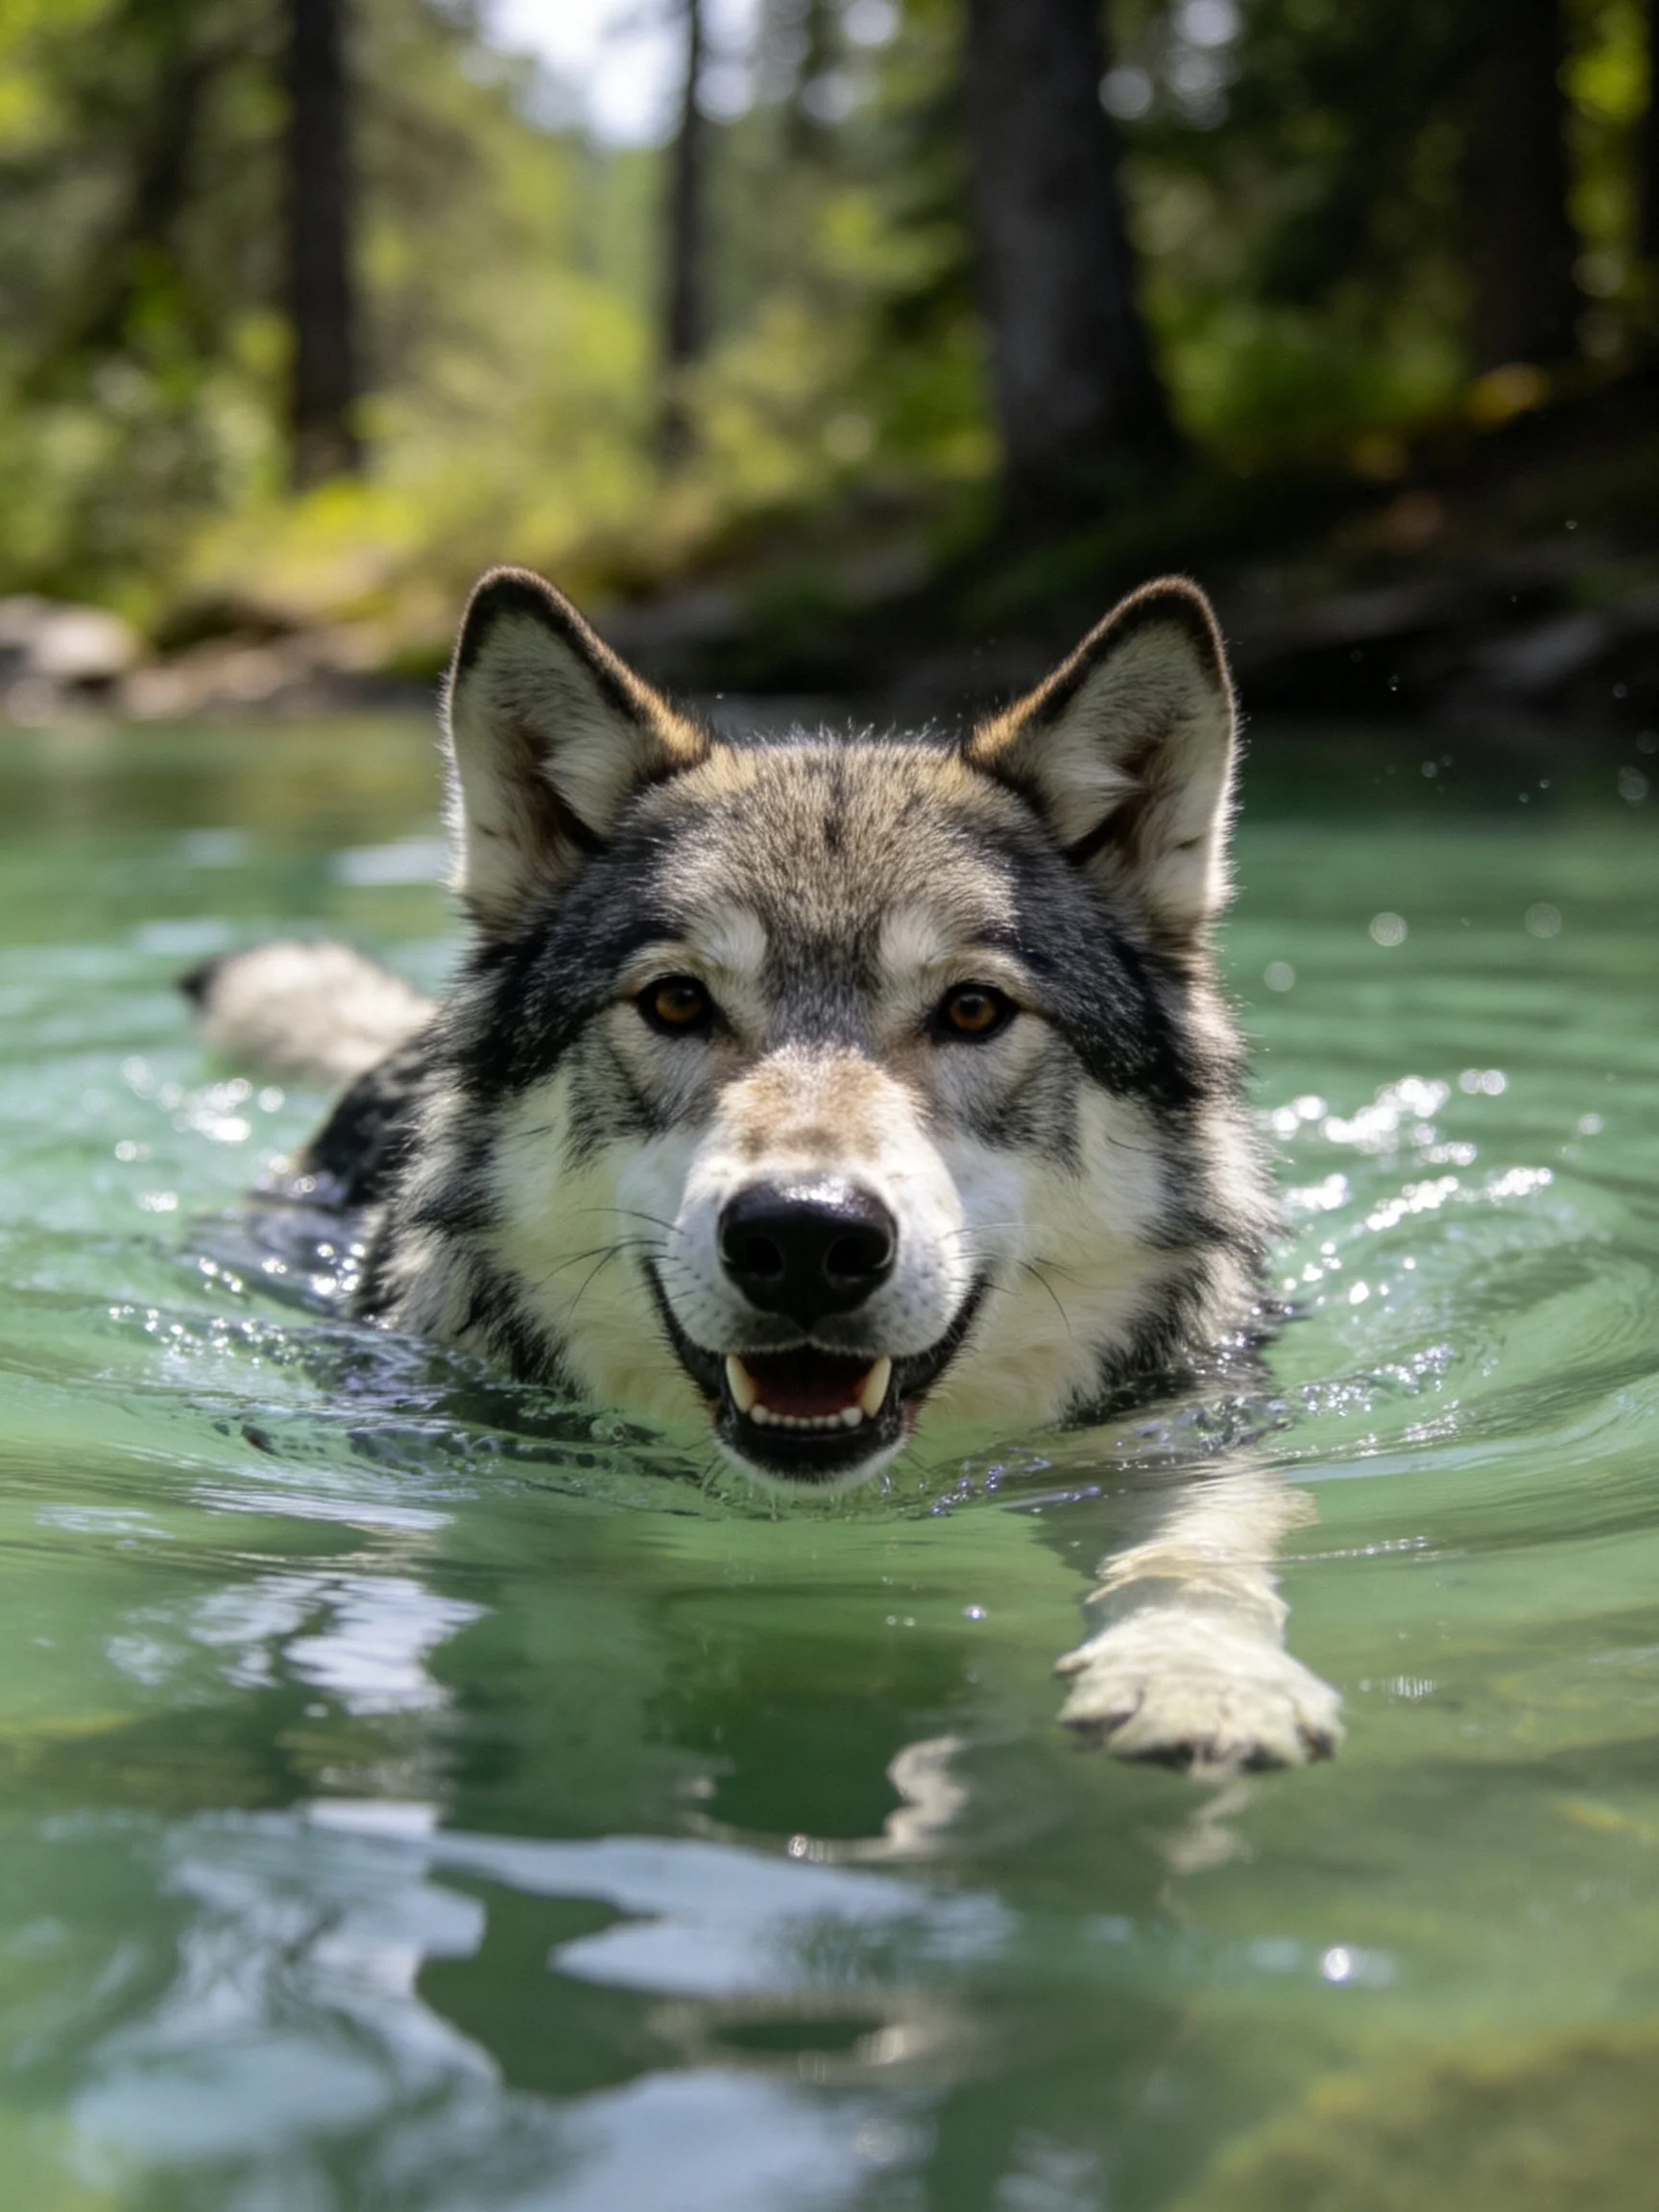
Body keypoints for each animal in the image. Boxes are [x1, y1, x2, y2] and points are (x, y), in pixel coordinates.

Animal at [185, 566, 1342, 1775]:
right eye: (675, 1001)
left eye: (974, 1010)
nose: (804, 1237)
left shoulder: (1174, 1428)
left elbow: (1200, 1538)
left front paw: (1202, 1681)